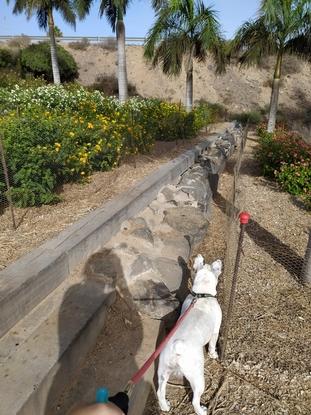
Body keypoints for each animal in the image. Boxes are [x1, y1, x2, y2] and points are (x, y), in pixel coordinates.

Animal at [158, 255, 222, 414]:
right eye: (216, 267)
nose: (219, 261)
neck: (202, 295)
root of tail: (177, 347)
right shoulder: (216, 330)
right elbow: (213, 345)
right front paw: (213, 354)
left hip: (162, 370)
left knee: (160, 391)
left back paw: (165, 406)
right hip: (197, 377)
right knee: (195, 400)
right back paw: (202, 410)